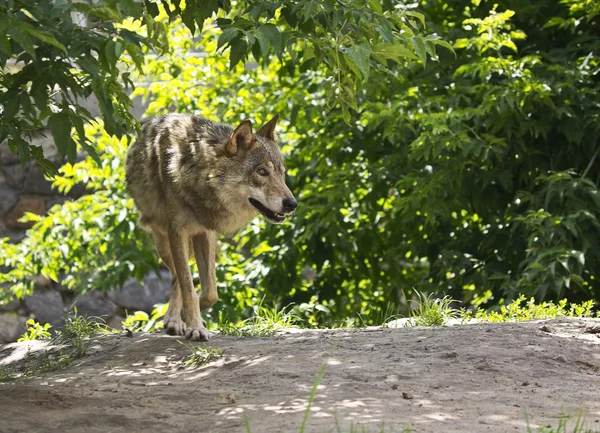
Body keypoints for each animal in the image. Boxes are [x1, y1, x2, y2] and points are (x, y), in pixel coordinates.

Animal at [125, 115, 296, 340]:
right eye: (262, 172)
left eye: (282, 174)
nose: (292, 204)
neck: (194, 170)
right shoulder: (177, 231)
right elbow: (188, 287)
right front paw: (195, 326)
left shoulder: (205, 232)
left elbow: (210, 293)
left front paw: (190, 318)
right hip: (164, 244)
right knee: (175, 276)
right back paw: (174, 320)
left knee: (178, 279)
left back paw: (175, 320)